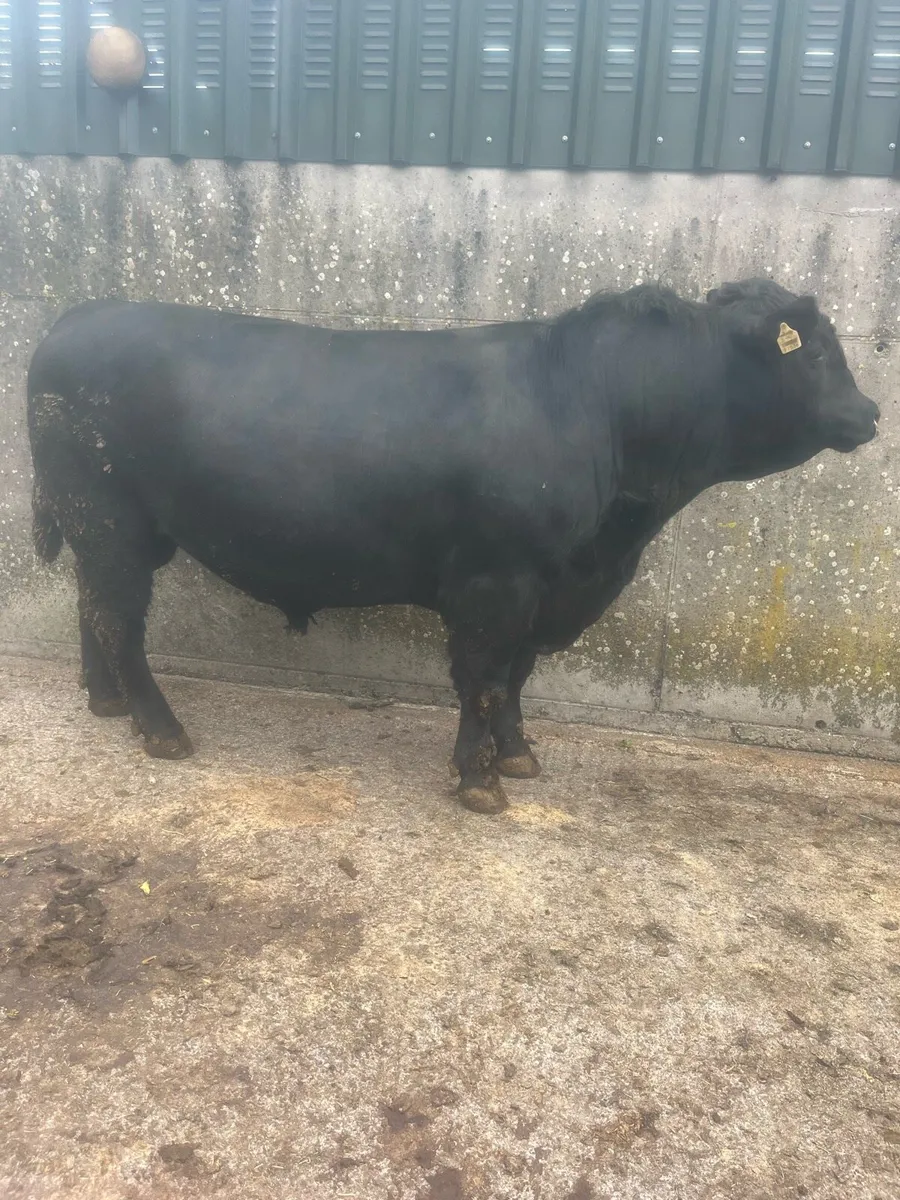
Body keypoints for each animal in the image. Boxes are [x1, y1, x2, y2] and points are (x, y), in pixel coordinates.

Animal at [27, 279, 879, 814]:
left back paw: (106, 702)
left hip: (108, 529)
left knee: (93, 607)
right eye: (814, 352)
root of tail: (73, 318)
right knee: (118, 618)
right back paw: (160, 728)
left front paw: (517, 755)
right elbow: (485, 680)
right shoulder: (495, 583)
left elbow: (518, 676)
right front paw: (479, 780)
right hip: (106, 517)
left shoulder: (542, 587)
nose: (870, 413)